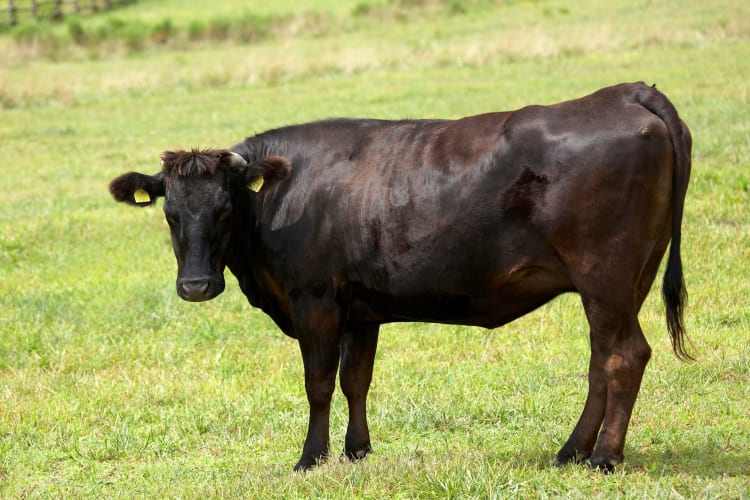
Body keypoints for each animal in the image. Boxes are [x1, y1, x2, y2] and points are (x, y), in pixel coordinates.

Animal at [110, 83, 692, 472]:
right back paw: (571, 450)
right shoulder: (360, 311)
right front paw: (357, 450)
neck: (285, 192)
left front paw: (310, 457)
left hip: (606, 277)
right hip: (625, 282)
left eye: (226, 209)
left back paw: (604, 458)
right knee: (601, 360)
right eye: (171, 214)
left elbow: (319, 383)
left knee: (624, 356)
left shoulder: (314, 302)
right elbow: (356, 380)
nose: (196, 287)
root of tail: (622, 93)